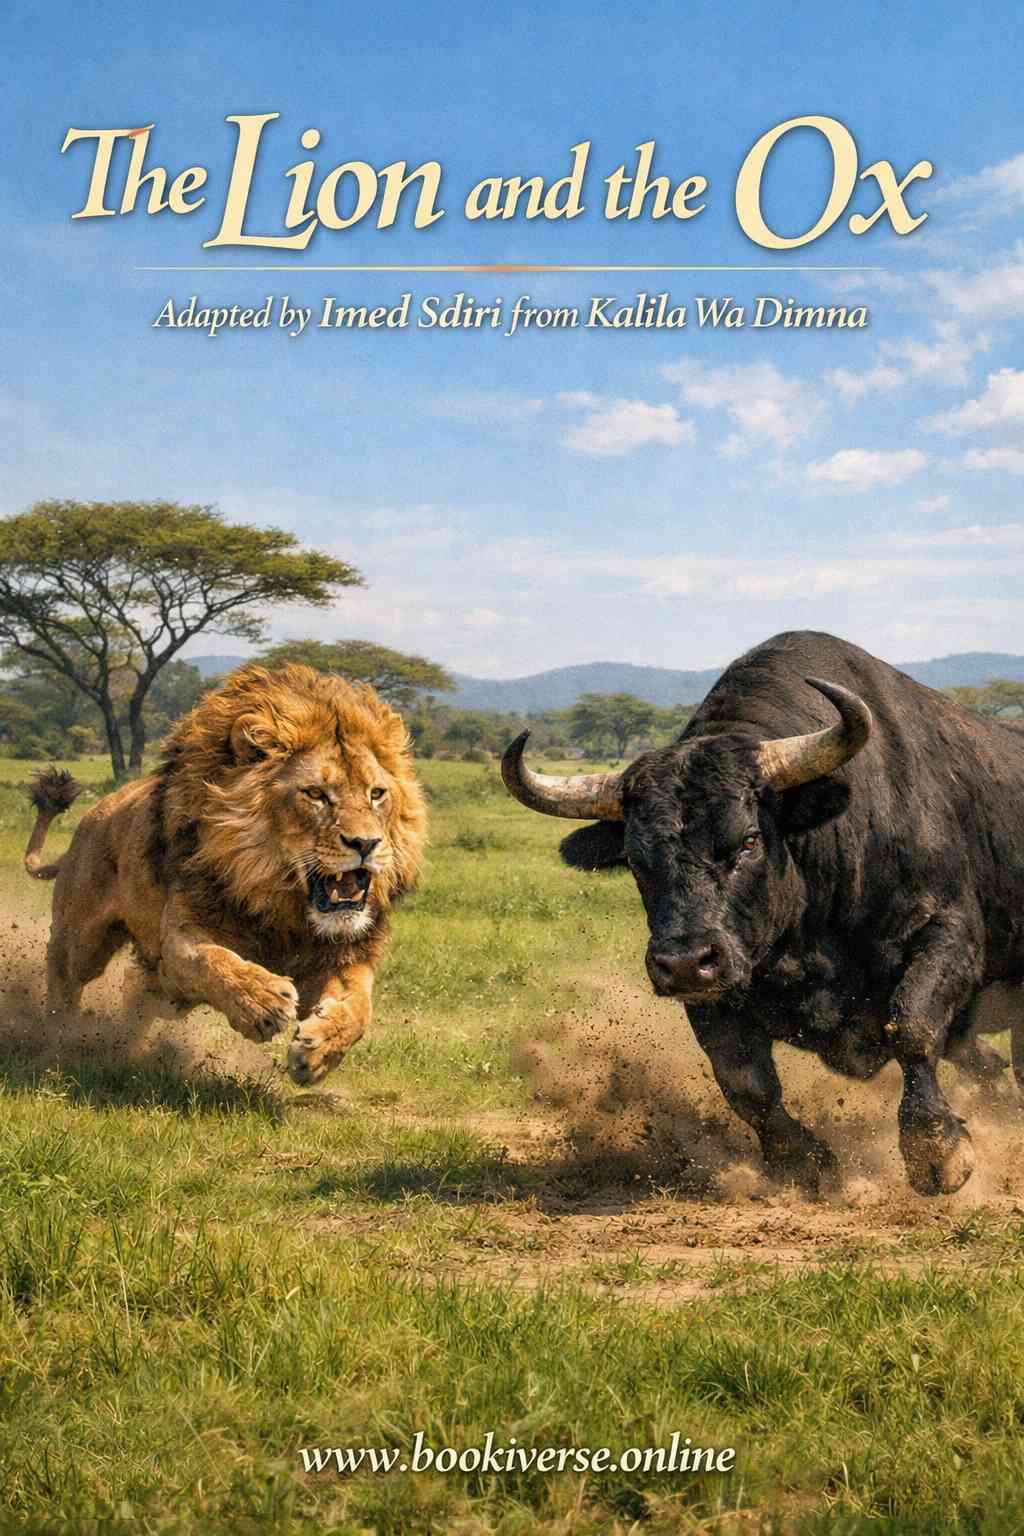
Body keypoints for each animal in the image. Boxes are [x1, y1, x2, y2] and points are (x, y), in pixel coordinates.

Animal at [24, 664, 427, 1084]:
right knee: (62, 976)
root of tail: (93, 814)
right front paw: (262, 1002)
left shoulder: (345, 955)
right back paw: (58, 1037)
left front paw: (317, 1053)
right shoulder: (179, 939)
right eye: (315, 794)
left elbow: (359, 1008)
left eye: (376, 794)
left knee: (136, 993)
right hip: (83, 942)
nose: (366, 843)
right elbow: (212, 960)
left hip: (158, 986)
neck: (282, 905)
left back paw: (123, 1049)